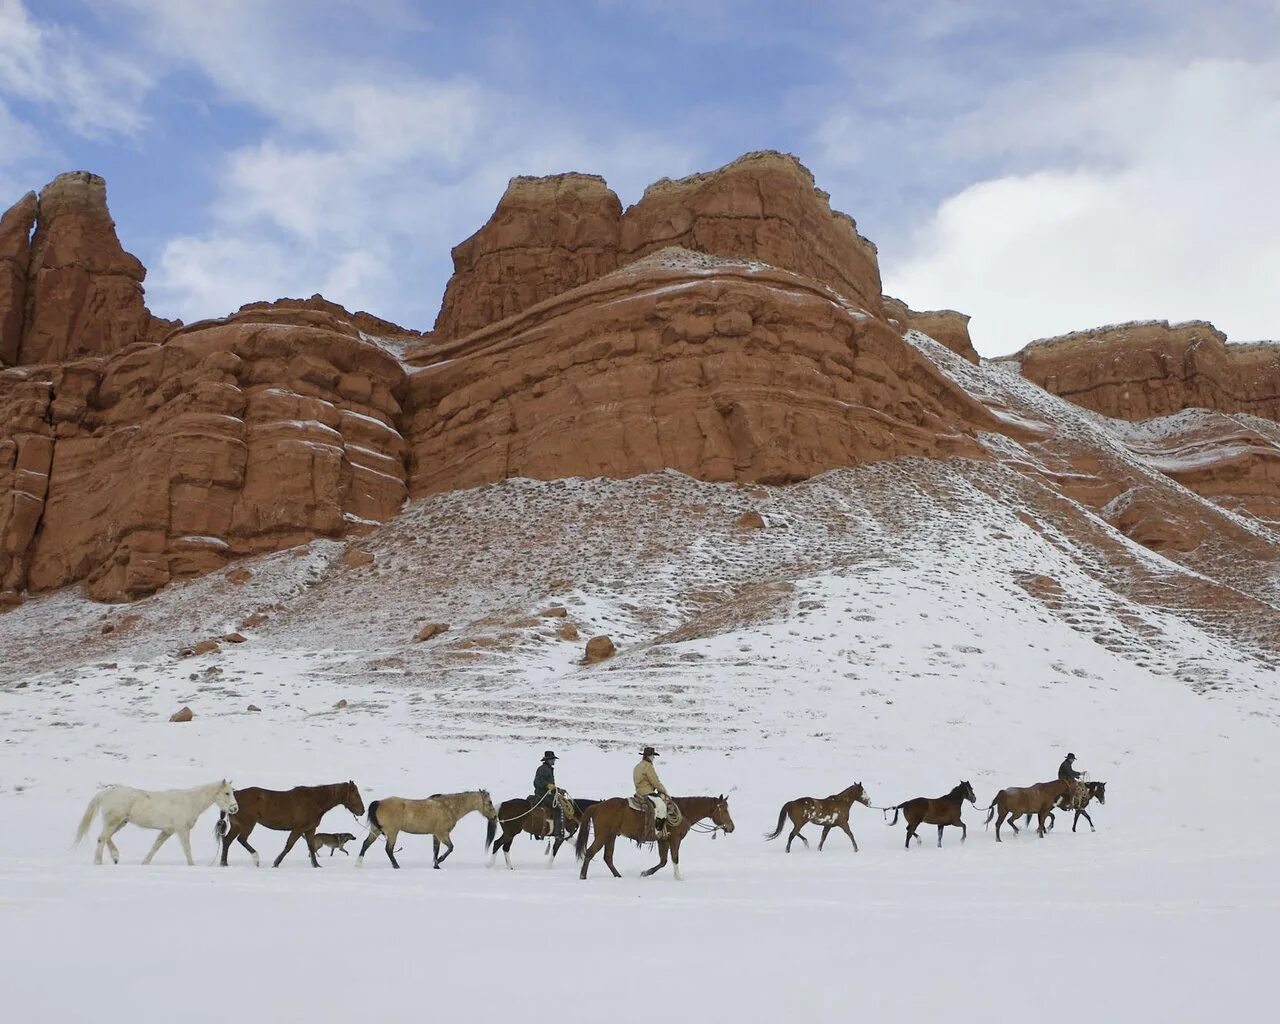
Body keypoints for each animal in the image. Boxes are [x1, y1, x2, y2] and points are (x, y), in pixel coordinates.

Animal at [73, 783, 240, 865]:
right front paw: (192, 865)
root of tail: (106, 793)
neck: (189, 801)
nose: (235, 808)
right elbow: (187, 849)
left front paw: (145, 863)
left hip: (120, 823)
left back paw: (115, 857)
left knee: (106, 838)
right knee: (102, 838)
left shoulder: (167, 831)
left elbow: (155, 846)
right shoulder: (182, 830)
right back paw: (98, 862)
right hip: (113, 822)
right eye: (227, 793)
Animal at [217, 778, 363, 870]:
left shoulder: (310, 830)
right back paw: (255, 859)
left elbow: (311, 847)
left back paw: (224, 863)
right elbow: (289, 846)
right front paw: (276, 863)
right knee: (241, 839)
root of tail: (234, 797)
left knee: (227, 841)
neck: (314, 801)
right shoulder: (298, 829)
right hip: (247, 824)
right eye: (355, 794)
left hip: (237, 826)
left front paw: (316, 865)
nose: (362, 811)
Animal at [363, 788, 501, 870]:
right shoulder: (442, 834)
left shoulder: (436, 835)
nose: (495, 816)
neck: (448, 807)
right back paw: (396, 865)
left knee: (366, 844)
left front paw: (436, 865)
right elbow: (450, 848)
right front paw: (439, 861)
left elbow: (436, 850)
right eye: (489, 802)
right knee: (388, 849)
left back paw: (359, 863)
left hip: (376, 830)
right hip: (392, 833)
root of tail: (379, 802)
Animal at [576, 793, 737, 880]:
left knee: (608, 857)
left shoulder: (663, 841)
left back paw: (618, 876)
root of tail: (597, 806)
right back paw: (583, 876)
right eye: (724, 810)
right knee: (590, 853)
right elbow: (674, 858)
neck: (683, 811)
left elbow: (663, 861)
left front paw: (645, 873)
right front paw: (679, 878)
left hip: (611, 837)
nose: (731, 827)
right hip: (603, 836)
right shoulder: (675, 840)